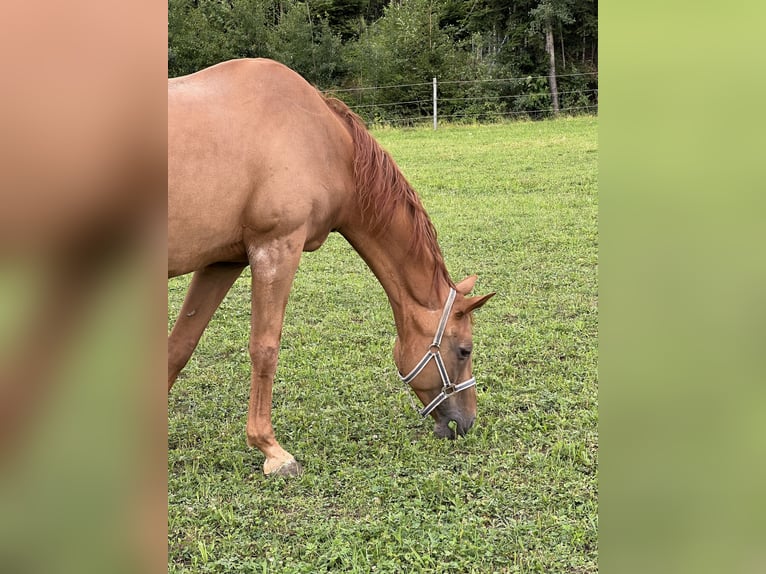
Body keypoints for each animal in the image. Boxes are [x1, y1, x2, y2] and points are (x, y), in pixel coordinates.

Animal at [166, 58, 498, 476]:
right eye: (464, 351)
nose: (465, 422)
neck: (324, 142)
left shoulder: (224, 260)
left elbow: (179, 346)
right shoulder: (276, 248)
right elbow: (264, 348)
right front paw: (271, 450)